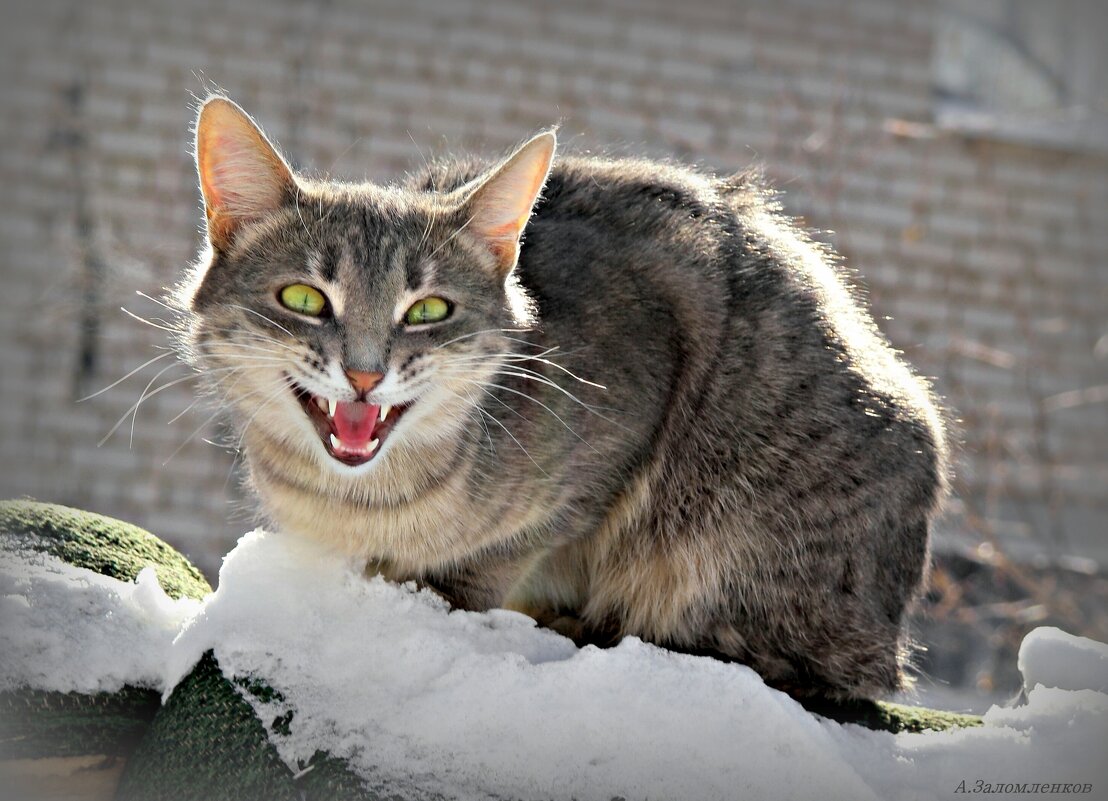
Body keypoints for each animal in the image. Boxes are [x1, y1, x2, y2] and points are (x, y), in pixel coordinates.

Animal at [177, 95, 948, 700]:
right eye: (304, 299)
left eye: (428, 310)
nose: (365, 374)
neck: (362, 507)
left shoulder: (612, 445)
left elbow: (503, 552)